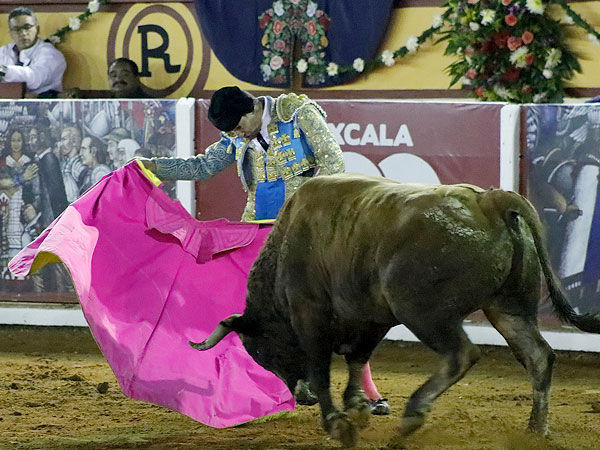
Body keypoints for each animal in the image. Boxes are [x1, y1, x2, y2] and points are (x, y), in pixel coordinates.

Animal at [190, 173, 600, 448]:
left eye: (264, 351)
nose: (301, 397)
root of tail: (489, 202)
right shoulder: (372, 318)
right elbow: (357, 359)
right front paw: (357, 407)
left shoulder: (311, 315)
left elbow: (322, 370)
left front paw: (338, 422)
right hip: (508, 308)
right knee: (538, 356)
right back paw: (535, 430)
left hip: (423, 311)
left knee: (461, 354)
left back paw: (411, 418)